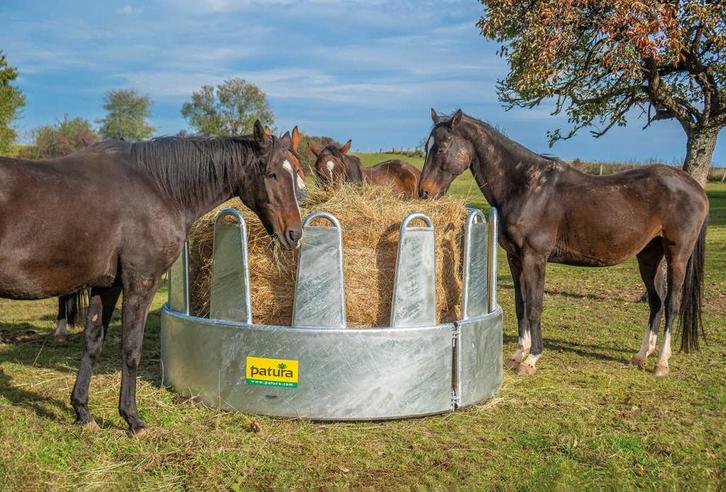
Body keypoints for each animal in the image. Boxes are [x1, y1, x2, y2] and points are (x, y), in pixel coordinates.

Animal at [0, 120, 303, 435]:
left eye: (296, 170)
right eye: (270, 172)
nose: (294, 233)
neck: (157, 187)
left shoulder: (107, 286)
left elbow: (92, 342)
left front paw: (82, 411)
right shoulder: (141, 282)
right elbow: (131, 348)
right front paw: (132, 418)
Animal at [419, 109, 708, 377]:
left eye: (441, 148)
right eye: (425, 147)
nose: (424, 192)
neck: (526, 187)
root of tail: (695, 188)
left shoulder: (535, 258)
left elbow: (535, 307)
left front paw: (531, 359)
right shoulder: (515, 259)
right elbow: (521, 305)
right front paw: (518, 354)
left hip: (677, 255)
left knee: (672, 304)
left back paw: (661, 362)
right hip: (649, 255)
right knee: (656, 301)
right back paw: (641, 355)